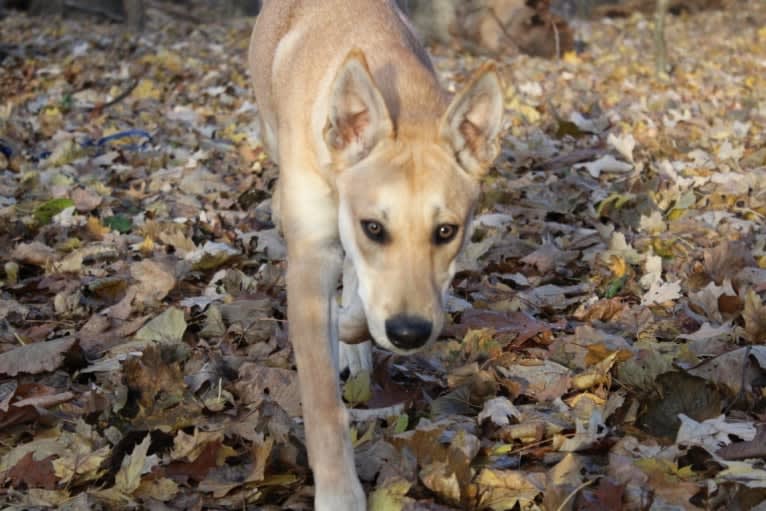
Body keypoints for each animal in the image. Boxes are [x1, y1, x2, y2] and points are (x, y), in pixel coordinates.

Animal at [249, 2, 508, 510]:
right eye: (375, 227)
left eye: (446, 231)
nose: (408, 333)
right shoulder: (311, 259)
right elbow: (322, 398)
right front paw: (337, 492)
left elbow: (361, 298)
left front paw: (355, 328)